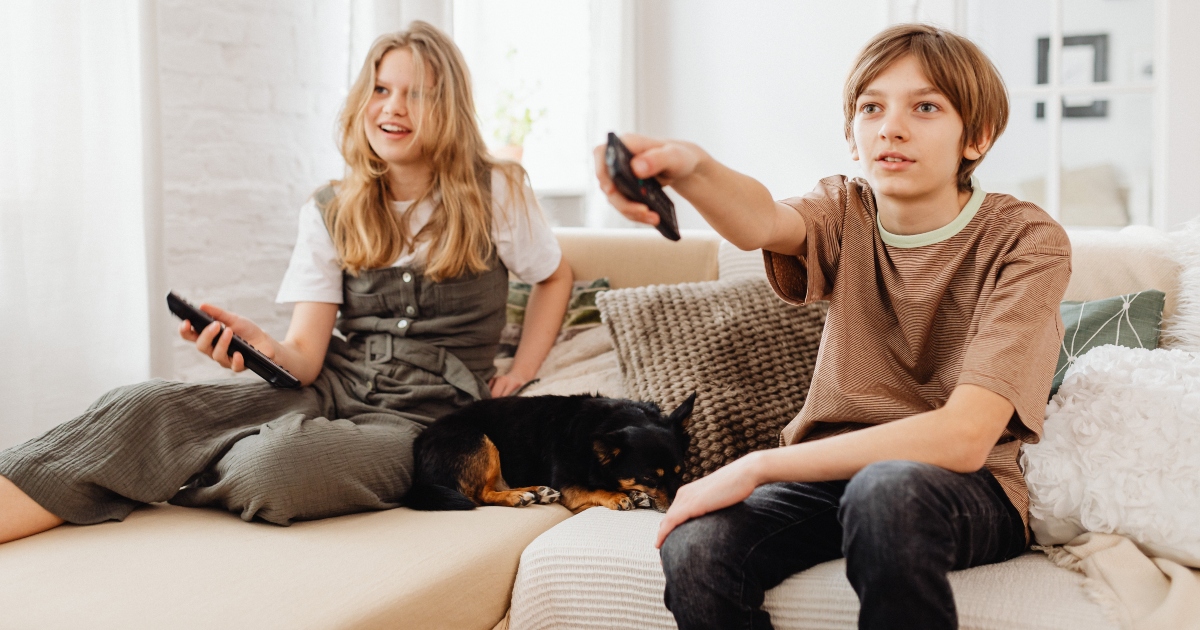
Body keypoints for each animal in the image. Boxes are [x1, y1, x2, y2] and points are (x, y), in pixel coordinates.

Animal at [408, 393, 700, 511]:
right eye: (650, 478)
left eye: (681, 472)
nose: (681, 501)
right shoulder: (568, 486)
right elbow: (592, 489)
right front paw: (617, 496)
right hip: (481, 442)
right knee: (481, 494)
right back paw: (519, 497)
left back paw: (537, 491)